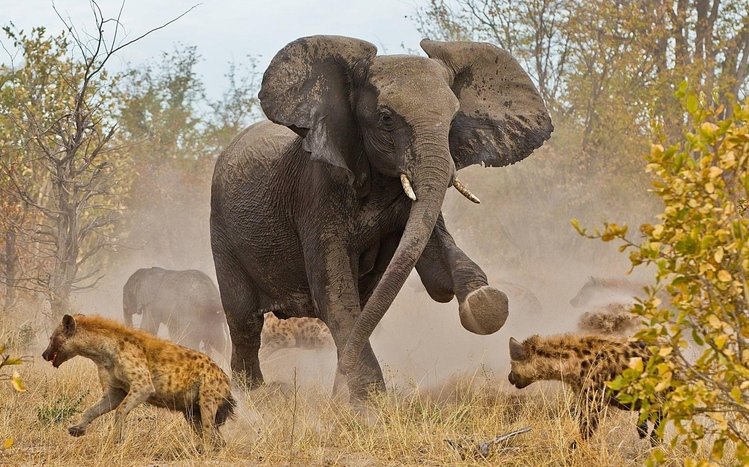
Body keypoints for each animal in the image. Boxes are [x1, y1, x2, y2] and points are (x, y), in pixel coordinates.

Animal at [210, 36, 553, 399]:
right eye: (386, 118)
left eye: (453, 120)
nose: (335, 392)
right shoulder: (317, 191)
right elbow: (333, 292)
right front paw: (368, 402)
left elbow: (436, 268)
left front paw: (484, 302)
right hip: (222, 232)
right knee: (244, 320)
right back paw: (252, 394)